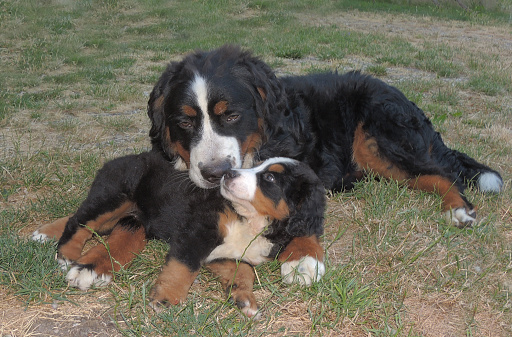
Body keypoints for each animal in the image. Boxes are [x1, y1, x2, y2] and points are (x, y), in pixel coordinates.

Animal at [42, 152, 326, 316]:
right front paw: (166, 299)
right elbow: (183, 267)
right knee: (79, 221)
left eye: (269, 178)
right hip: (115, 195)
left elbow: (243, 269)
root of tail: (117, 160)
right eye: (256, 167)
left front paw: (243, 297)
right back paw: (67, 255)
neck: (250, 221)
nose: (227, 173)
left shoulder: (222, 253)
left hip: (128, 216)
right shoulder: (196, 233)